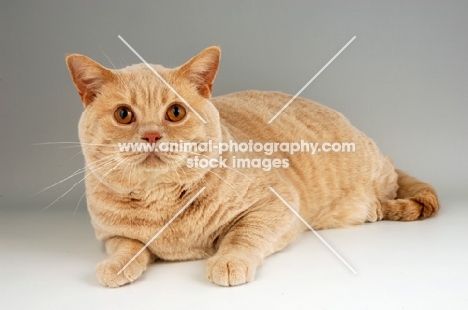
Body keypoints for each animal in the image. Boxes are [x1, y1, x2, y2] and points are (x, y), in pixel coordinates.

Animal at [65, 44, 438, 286]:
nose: (152, 135)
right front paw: (116, 266)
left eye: (175, 112)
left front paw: (229, 262)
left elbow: (242, 235)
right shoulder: (111, 234)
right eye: (123, 114)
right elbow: (128, 247)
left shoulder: (274, 205)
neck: (161, 202)